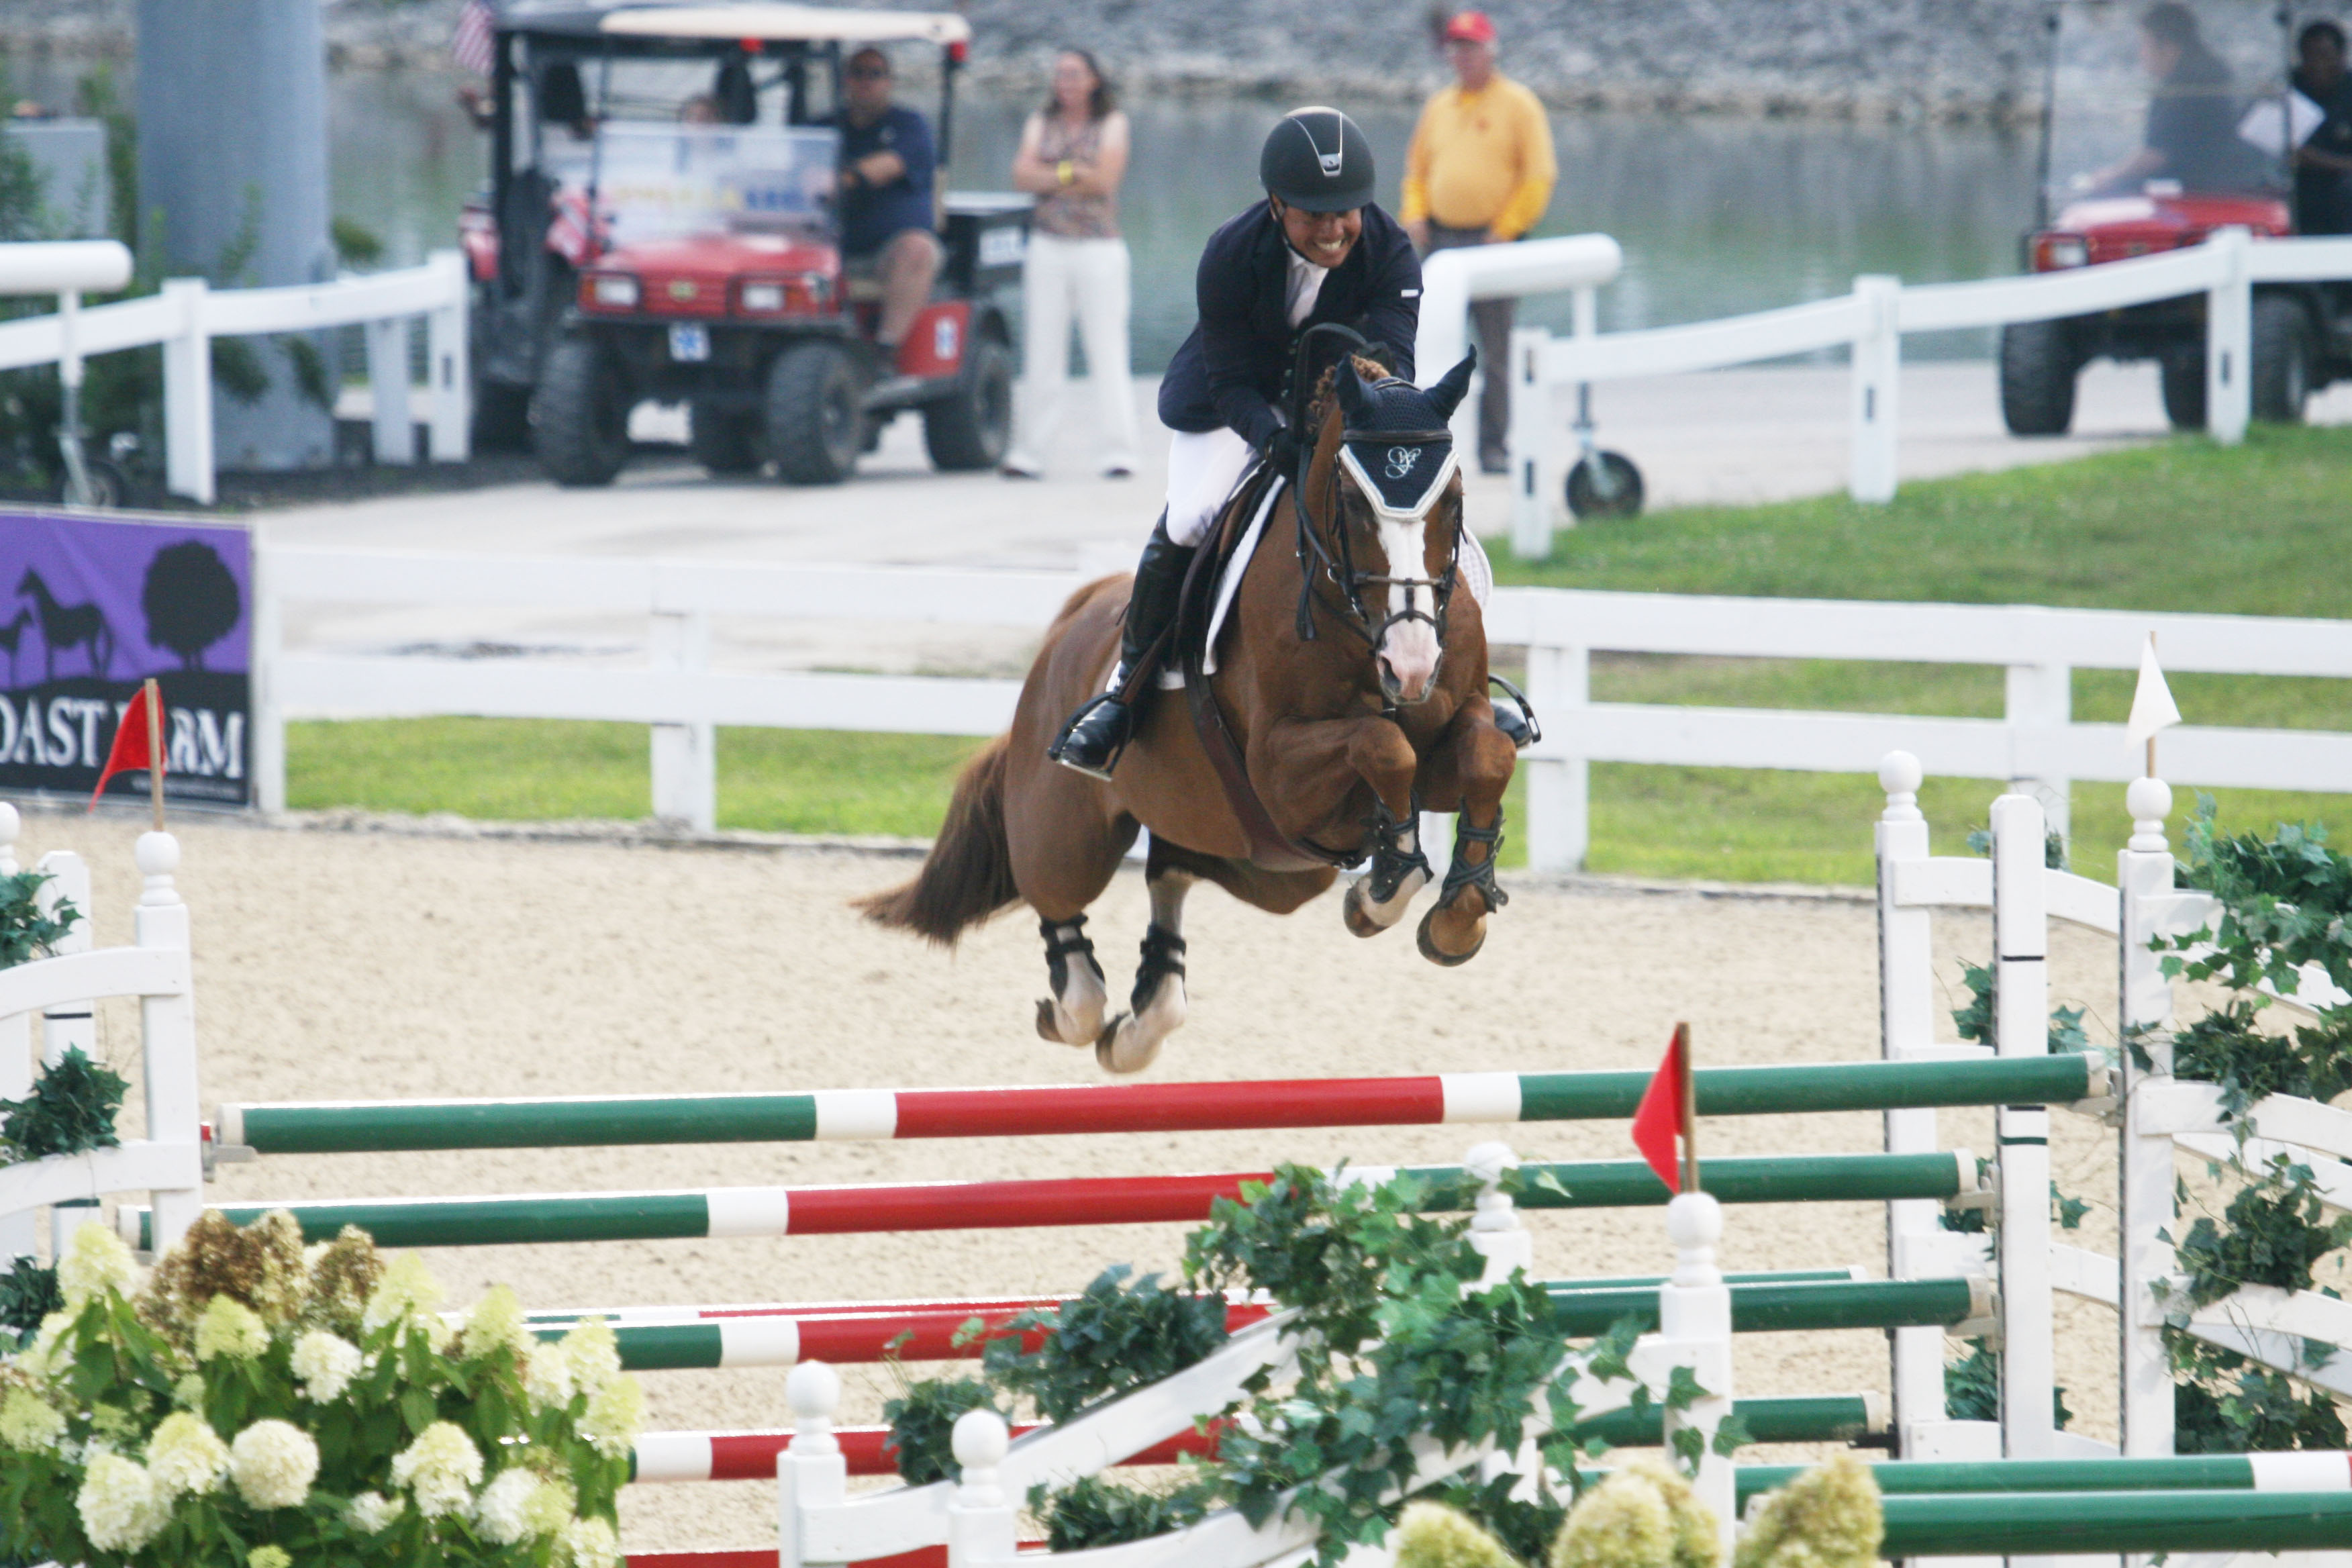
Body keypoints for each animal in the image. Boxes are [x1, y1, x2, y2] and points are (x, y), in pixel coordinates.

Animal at [870, 336, 1524, 1072]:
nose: (1410, 665)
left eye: (1455, 499)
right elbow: (1383, 746)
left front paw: (1454, 913)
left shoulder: (1446, 733)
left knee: (1171, 872)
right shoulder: (1279, 773)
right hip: (1069, 830)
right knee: (1060, 909)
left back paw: (1140, 1020)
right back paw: (1073, 1011)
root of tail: (1075, 615)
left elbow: (1486, 754)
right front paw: (1385, 887)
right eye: (1356, 504)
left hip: (1266, 862)